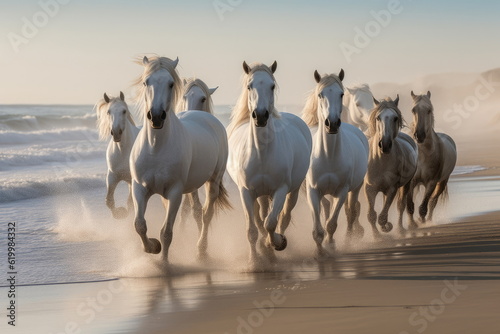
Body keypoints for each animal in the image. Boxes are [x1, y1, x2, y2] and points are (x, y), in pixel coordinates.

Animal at [94, 91, 139, 219]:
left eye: (124, 111)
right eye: (108, 112)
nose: (116, 132)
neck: (123, 151)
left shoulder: (133, 180)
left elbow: (131, 203)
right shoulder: (112, 176)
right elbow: (109, 201)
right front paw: (120, 213)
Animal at [364, 95, 418, 236]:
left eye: (395, 118)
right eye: (378, 117)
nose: (385, 144)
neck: (381, 161)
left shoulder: (392, 188)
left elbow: (383, 216)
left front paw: (386, 226)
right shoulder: (369, 188)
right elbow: (371, 215)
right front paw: (377, 236)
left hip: (406, 184)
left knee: (401, 205)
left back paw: (400, 228)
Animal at [406, 91, 458, 226]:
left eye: (429, 110)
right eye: (413, 110)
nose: (419, 135)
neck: (423, 156)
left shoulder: (432, 183)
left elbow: (424, 207)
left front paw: (422, 222)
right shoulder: (412, 182)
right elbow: (410, 205)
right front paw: (412, 224)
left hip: (442, 182)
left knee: (432, 202)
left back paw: (428, 220)